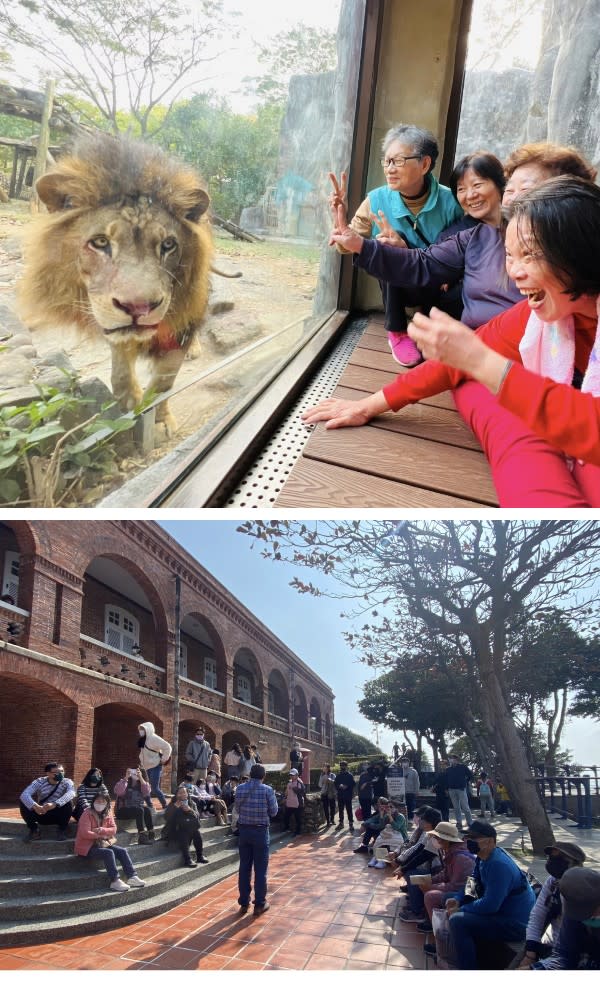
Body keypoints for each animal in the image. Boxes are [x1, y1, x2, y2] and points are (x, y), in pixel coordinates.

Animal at [17, 133, 214, 432]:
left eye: (168, 245)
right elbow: (121, 364)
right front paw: (128, 399)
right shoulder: (110, 319)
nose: (139, 308)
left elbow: (164, 381)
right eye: (100, 242)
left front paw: (159, 419)